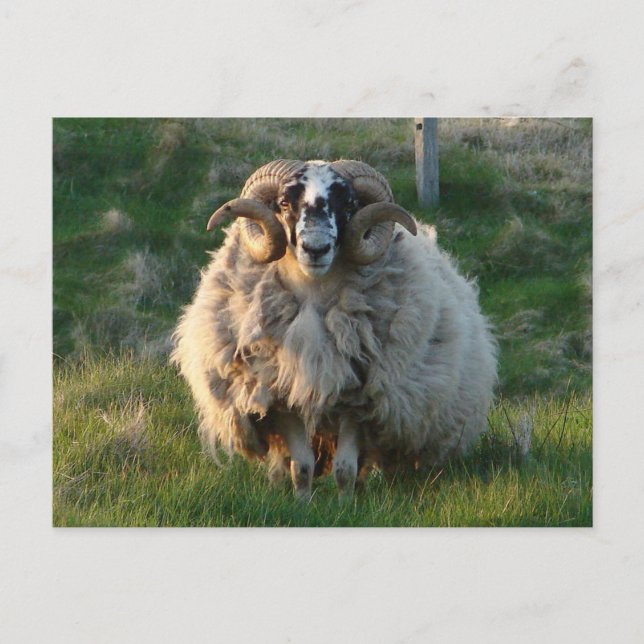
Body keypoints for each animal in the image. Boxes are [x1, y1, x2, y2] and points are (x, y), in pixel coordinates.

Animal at [171, 159, 497, 500]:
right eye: (284, 203)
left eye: (349, 204)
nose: (316, 248)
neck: (313, 296)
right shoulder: (281, 398)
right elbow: (302, 466)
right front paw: (302, 503)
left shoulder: (359, 402)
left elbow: (345, 468)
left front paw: (346, 504)